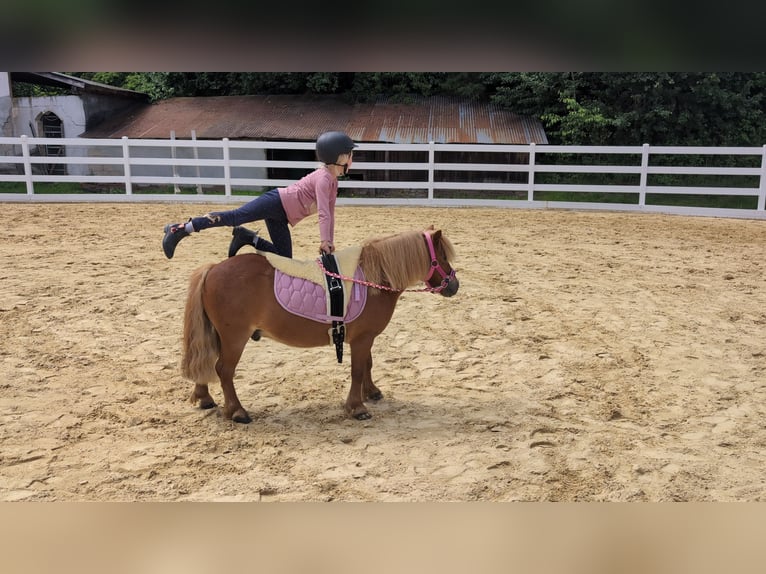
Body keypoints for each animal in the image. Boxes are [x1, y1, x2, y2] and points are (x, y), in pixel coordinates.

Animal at [180, 227, 459, 423]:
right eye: (442, 257)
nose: (454, 285)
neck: (372, 278)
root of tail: (213, 268)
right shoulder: (362, 339)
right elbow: (357, 370)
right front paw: (357, 407)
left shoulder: (365, 338)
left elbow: (368, 364)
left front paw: (371, 392)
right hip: (235, 338)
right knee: (223, 370)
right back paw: (237, 411)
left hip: (218, 336)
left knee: (205, 362)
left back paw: (205, 397)